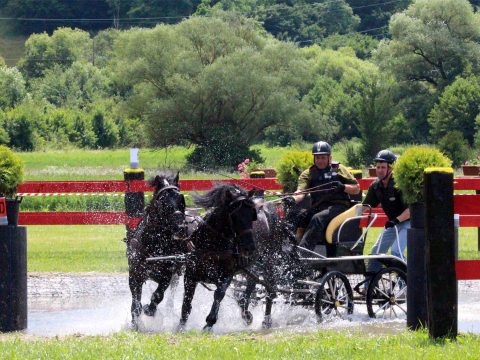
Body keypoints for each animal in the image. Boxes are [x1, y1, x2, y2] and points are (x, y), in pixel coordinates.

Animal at [124, 172, 187, 330]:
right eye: (163, 201)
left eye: (182, 199)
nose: (181, 228)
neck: (154, 244)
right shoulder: (135, 274)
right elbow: (135, 303)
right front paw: (135, 324)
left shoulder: (167, 275)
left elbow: (158, 295)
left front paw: (150, 310)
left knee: (171, 294)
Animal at [178, 184, 258, 330]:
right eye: (235, 216)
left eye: (252, 215)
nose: (249, 247)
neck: (213, 246)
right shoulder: (190, 275)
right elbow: (187, 300)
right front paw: (181, 325)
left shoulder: (228, 273)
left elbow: (219, 294)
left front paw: (209, 322)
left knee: (251, 283)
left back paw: (246, 313)